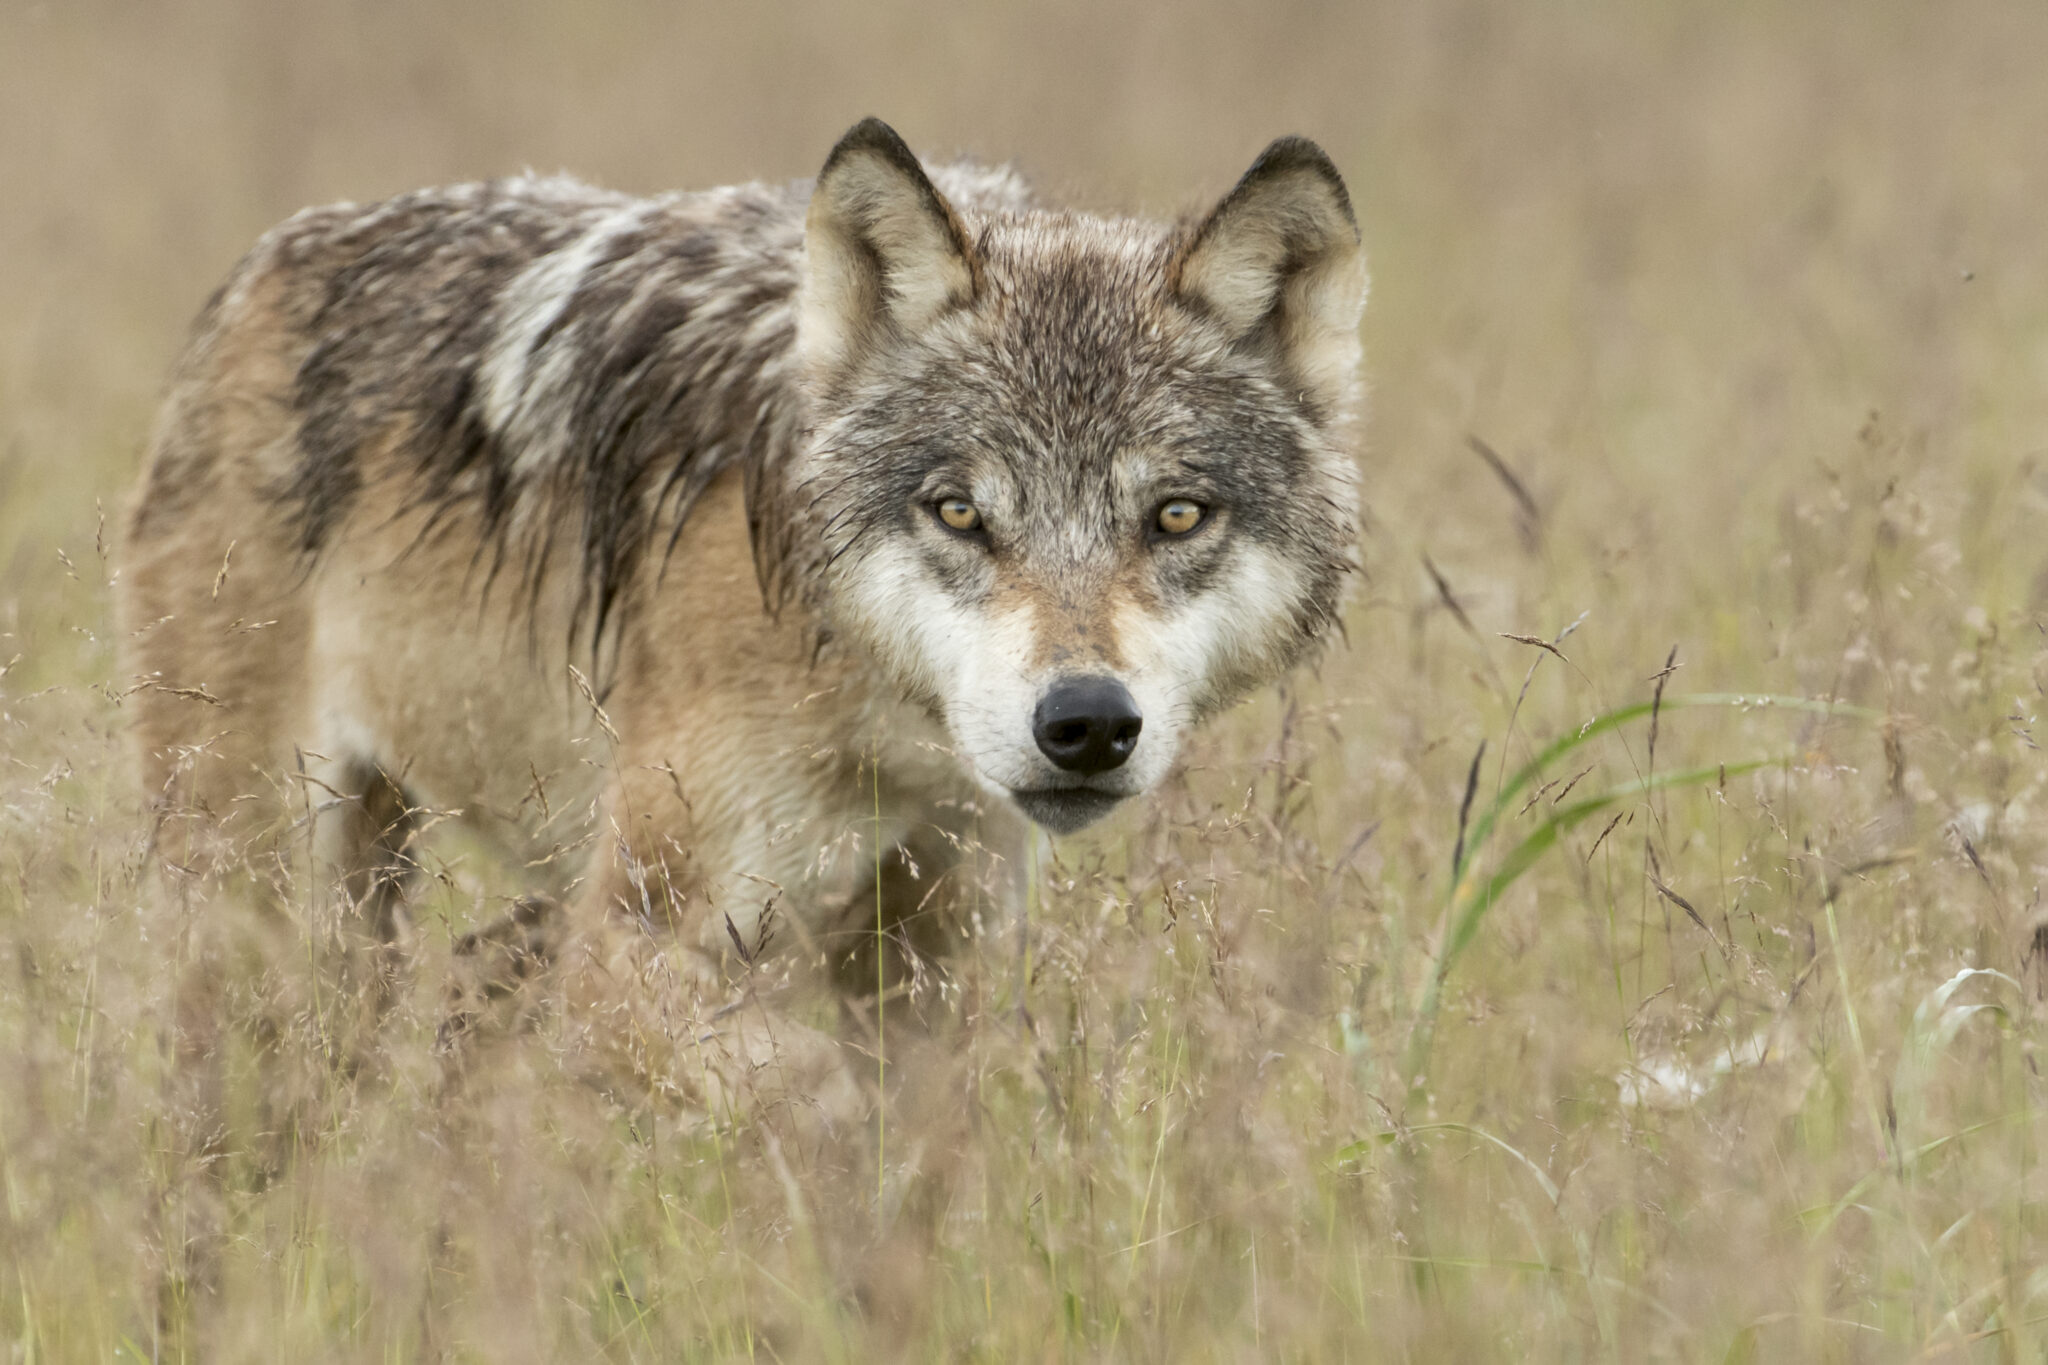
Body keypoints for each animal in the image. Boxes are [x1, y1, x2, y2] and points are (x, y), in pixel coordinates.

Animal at [118, 118, 1366, 1042]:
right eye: (960, 513)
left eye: (1175, 516)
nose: (1087, 725)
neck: (879, 723)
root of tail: (256, 271)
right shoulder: (636, 951)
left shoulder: (933, 969)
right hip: (262, 886)